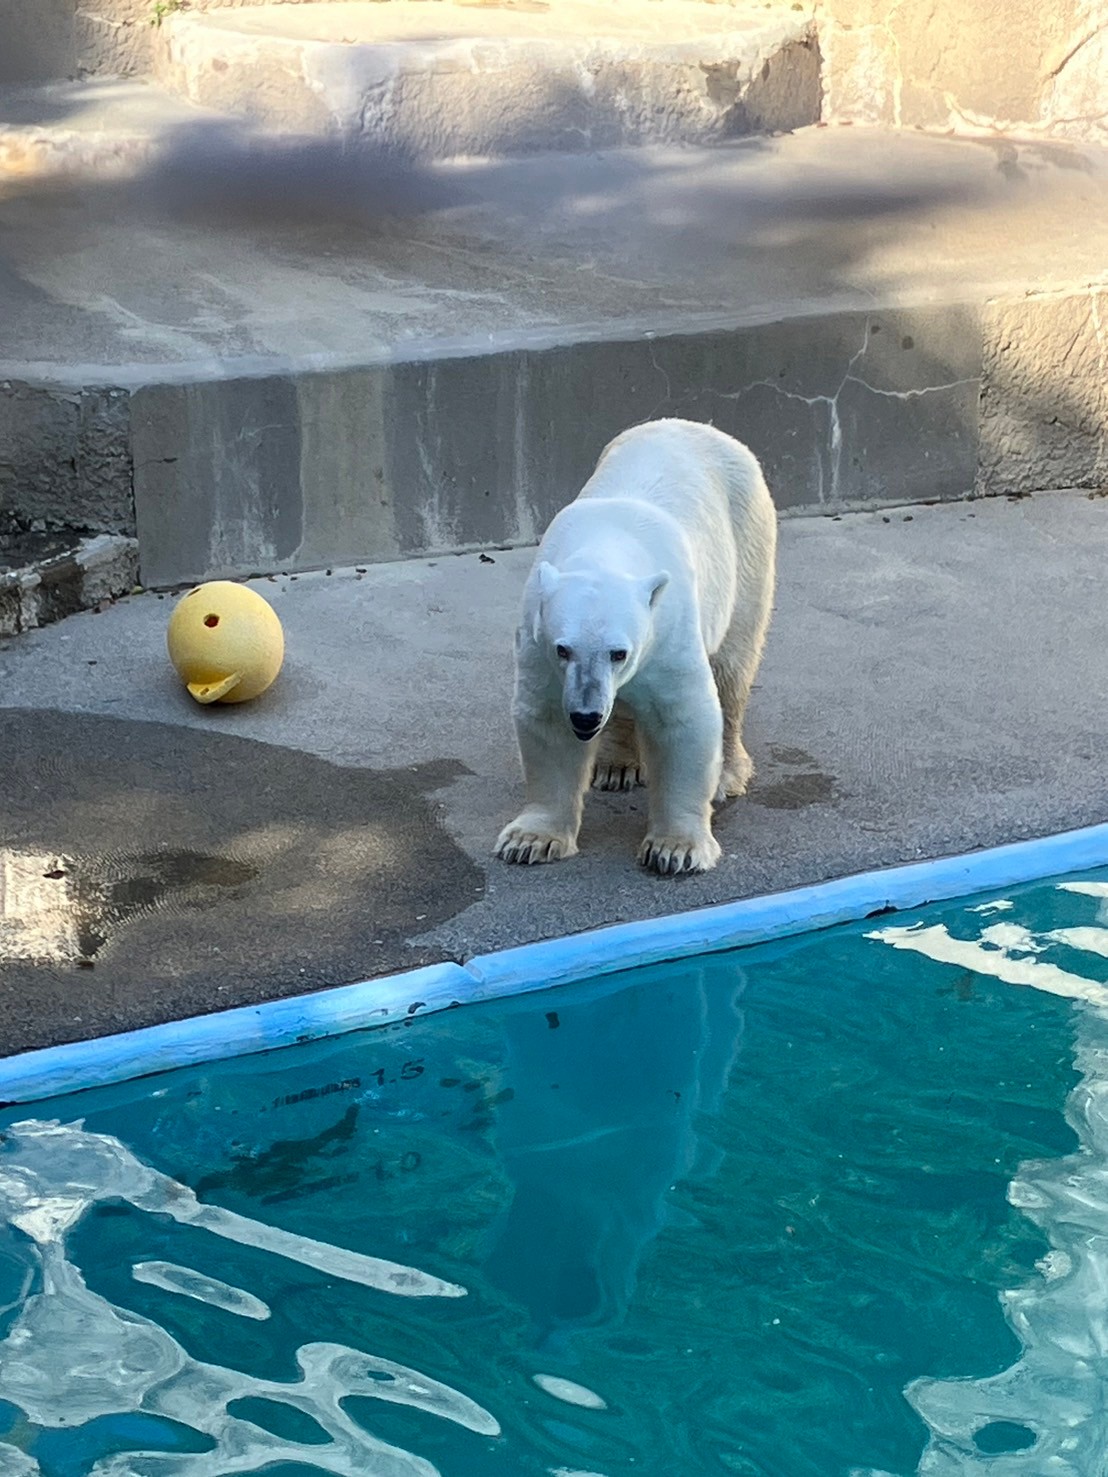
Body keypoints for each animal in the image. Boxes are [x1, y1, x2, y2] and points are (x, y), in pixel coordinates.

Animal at [499, 416, 774, 874]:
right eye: (563, 649)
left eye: (619, 652)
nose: (586, 716)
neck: (607, 545)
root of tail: (703, 427)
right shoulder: (537, 635)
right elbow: (548, 720)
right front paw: (530, 840)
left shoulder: (669, 632)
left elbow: (684, 718)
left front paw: (675, 849)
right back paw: (616, 766)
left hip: (748, 543)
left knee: (733, 667)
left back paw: (726, 774)